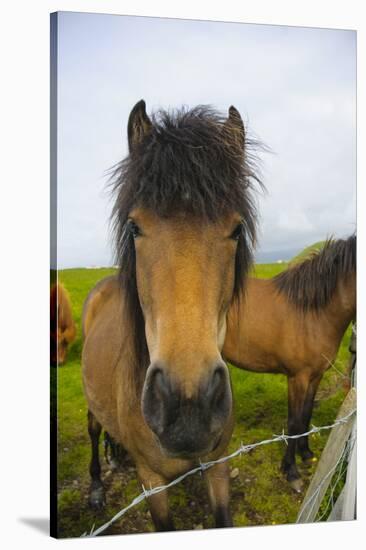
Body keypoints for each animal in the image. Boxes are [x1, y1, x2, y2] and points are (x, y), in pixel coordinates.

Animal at [81, 101, 262, 532]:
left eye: (236, 229)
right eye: (134, 226)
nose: (188, 406)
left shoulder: (218, 465)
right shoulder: (152, 482)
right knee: (93, 429)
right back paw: (96, 486)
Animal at [222, 235, 356, 494]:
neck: (312, 312)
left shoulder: (315, 376)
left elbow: (306, 414)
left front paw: (306, 453)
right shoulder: (297, 378)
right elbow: (293, 422)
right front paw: (291, 471)